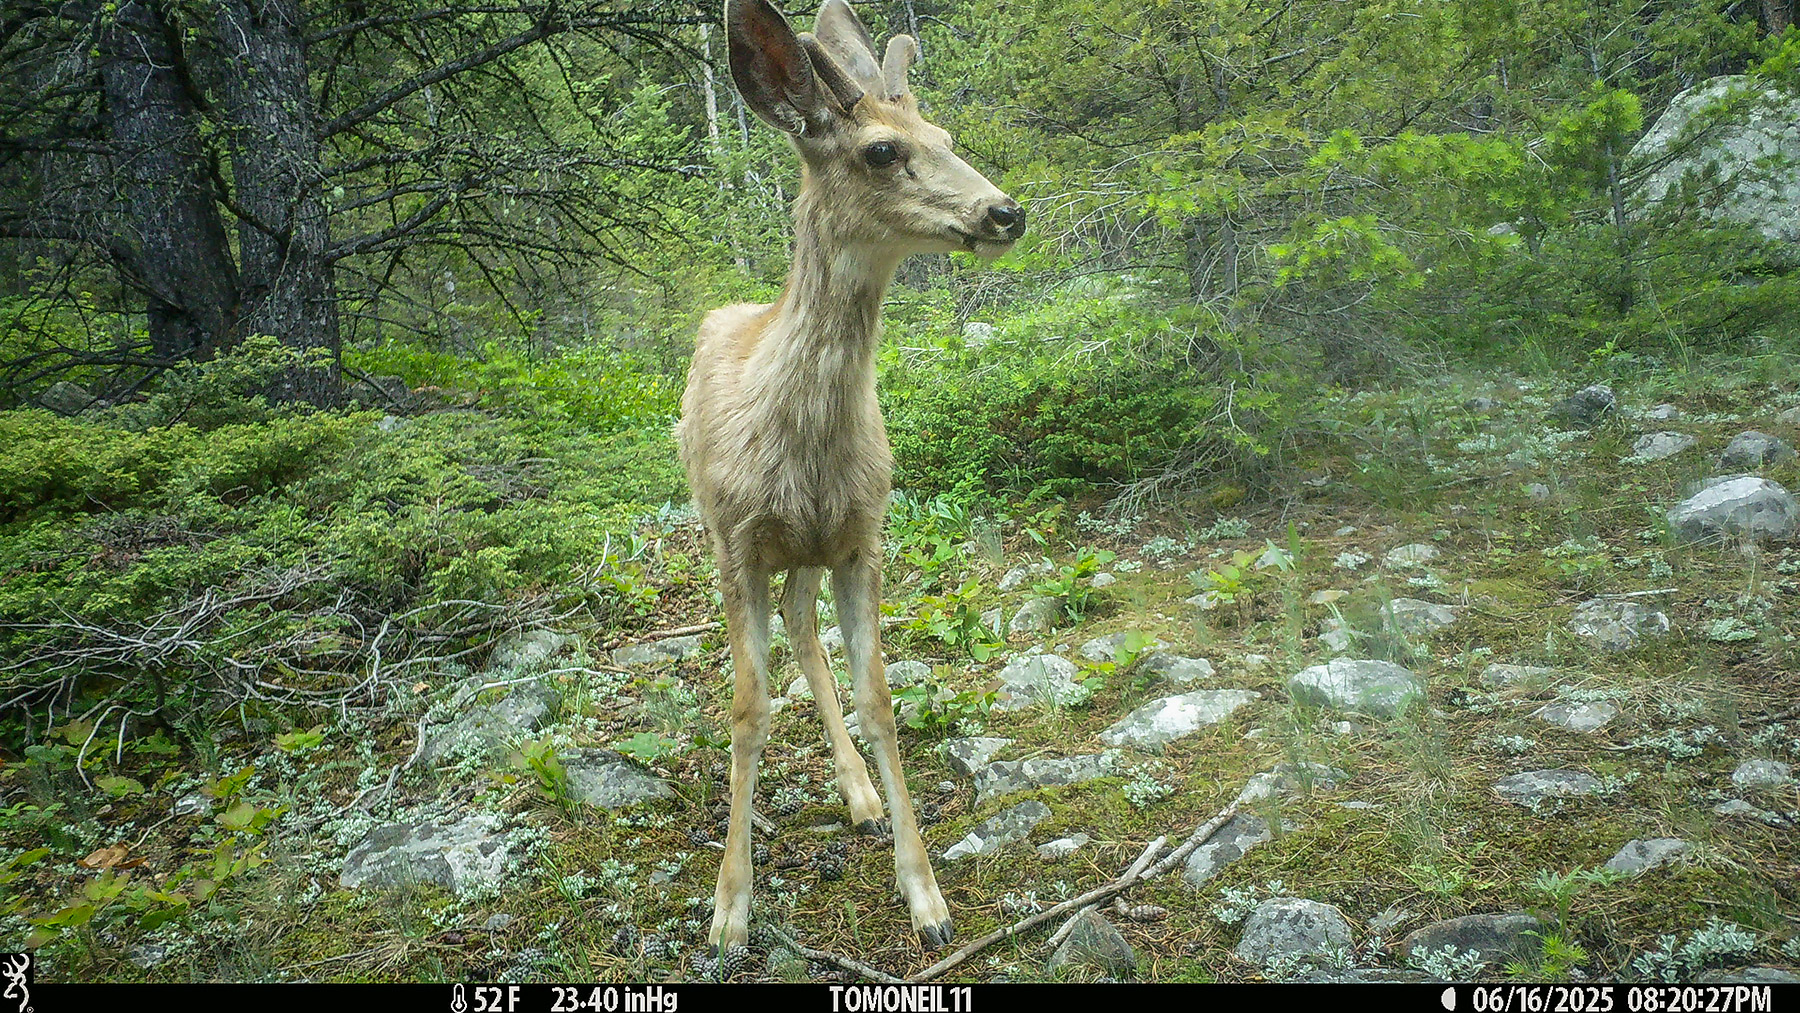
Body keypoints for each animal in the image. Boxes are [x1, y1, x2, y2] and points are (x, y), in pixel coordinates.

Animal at [676, 0, 1025, 955]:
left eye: (944, 135)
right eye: (879, 150)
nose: (1005, 210)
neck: (800, 437)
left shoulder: (863, 535)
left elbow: (879, 699)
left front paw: (929, 899)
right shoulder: (738, 543)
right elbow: (748, 708)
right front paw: (729, 910)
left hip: (813, 548)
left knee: (805, 626)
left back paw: (861, 797)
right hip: (734, 531)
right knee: (791, 633)